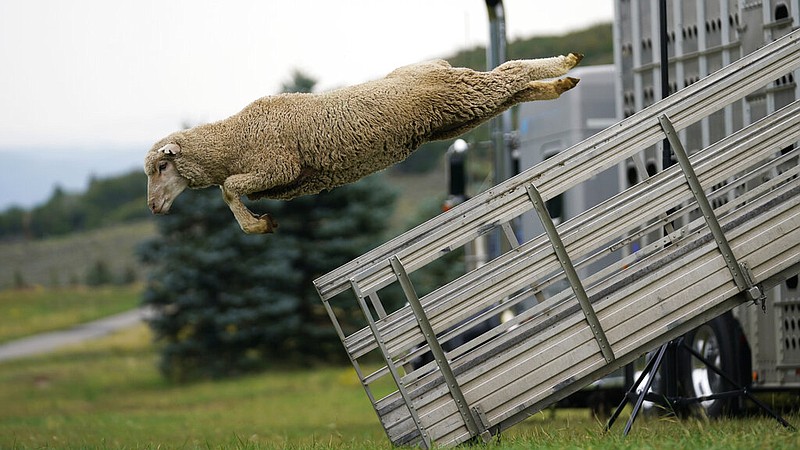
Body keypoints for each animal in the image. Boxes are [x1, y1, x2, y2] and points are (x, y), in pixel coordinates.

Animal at [145, 54, 580, 234]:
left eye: (162, 166)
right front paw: (262, 222)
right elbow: (231, 189)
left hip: (462, 94)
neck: (233, 140)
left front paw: (257, 225)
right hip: (461, 112)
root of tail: (435, 64)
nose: (152, 206)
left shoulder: (278, 165)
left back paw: (564, 63)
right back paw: (559, 84)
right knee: (515, 88)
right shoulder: (287, 180)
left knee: (512, 71)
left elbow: (227, 188)